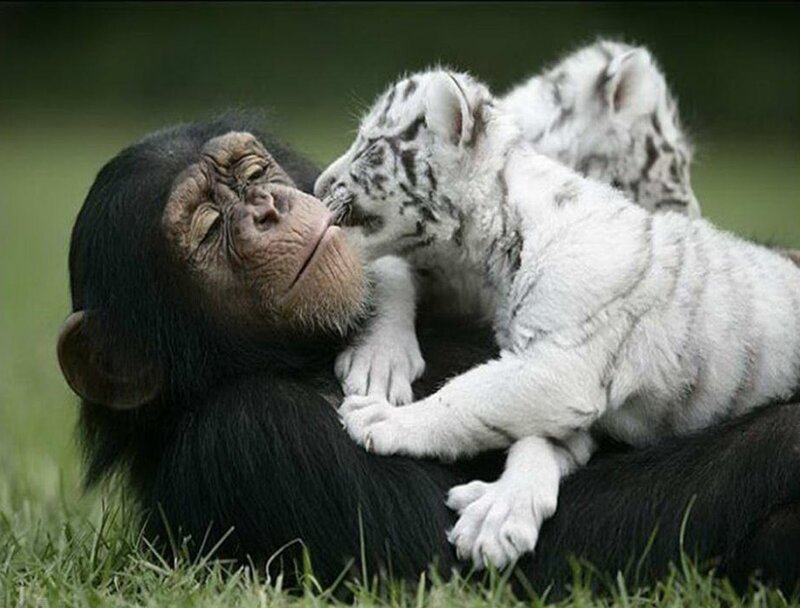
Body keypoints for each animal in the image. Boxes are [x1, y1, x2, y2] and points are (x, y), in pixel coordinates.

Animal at [316, 67, 800, 569]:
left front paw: (382, 420)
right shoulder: (558, 385)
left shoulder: (561, 364)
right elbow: (535, 439)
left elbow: (468, 397)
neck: (500, 234)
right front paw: (499, 515)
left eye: (371, 145)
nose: (318, 184)